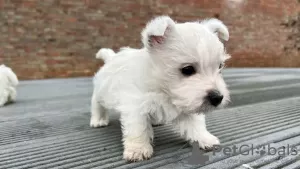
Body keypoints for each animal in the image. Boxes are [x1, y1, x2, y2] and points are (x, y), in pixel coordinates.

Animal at [91, 15, 232, 161]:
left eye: (220, 66)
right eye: (187, 69)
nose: (218, 97)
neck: (163, 90)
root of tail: (111, 58)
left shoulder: (187, 105)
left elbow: (196, 125)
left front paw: (205, 139)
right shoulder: (136, 107)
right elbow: (138, 129)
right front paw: (138, 149)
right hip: (101, 92)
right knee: (96, 104)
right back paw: (98, 120)